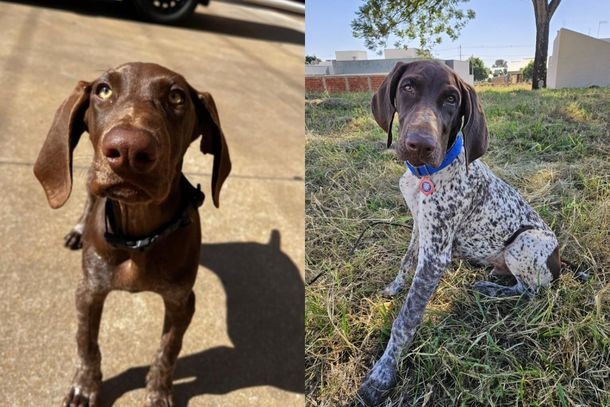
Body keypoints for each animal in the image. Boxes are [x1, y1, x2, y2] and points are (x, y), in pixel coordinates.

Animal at [34, 62, 232, 406]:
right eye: (103, 90)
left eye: (177, 97)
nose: (127, 148)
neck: (139, 237)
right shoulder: (89, 291)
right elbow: (87, 345)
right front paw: (84, 387)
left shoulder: (181, 301)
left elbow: (168, 351)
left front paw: (159, 391)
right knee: (88, 197)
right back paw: (78, 229)